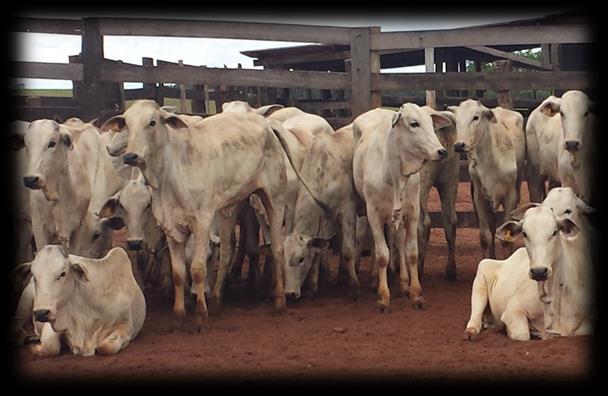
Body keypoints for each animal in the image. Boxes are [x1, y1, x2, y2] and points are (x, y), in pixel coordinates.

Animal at [13, 244, 146, 356]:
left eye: (62, 273)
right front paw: (34, 348)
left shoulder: (126, 326)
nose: (41, 313)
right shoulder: (53, 322)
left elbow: (106, 348)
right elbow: (51, 346)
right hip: (25, 301)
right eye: (34, 275)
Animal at [352, 106, 452, 312]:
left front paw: (416, 294)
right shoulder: (373, 213)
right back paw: (374, 279)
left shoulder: (412, 212)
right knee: (373, 241)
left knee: (398, 239)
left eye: (431, 124)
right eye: (414, 124)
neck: (394, 173)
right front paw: (383, 297)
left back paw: (404, 283)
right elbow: (382, 254)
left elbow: (411, 252)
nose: (441, 151)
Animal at [448, 100, 524, 258]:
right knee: (493, 228)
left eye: (476, 117)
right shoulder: (479, 197)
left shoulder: (511, 197)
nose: (459, 145)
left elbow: (506, 238)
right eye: (456, 120)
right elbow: (485, 236)